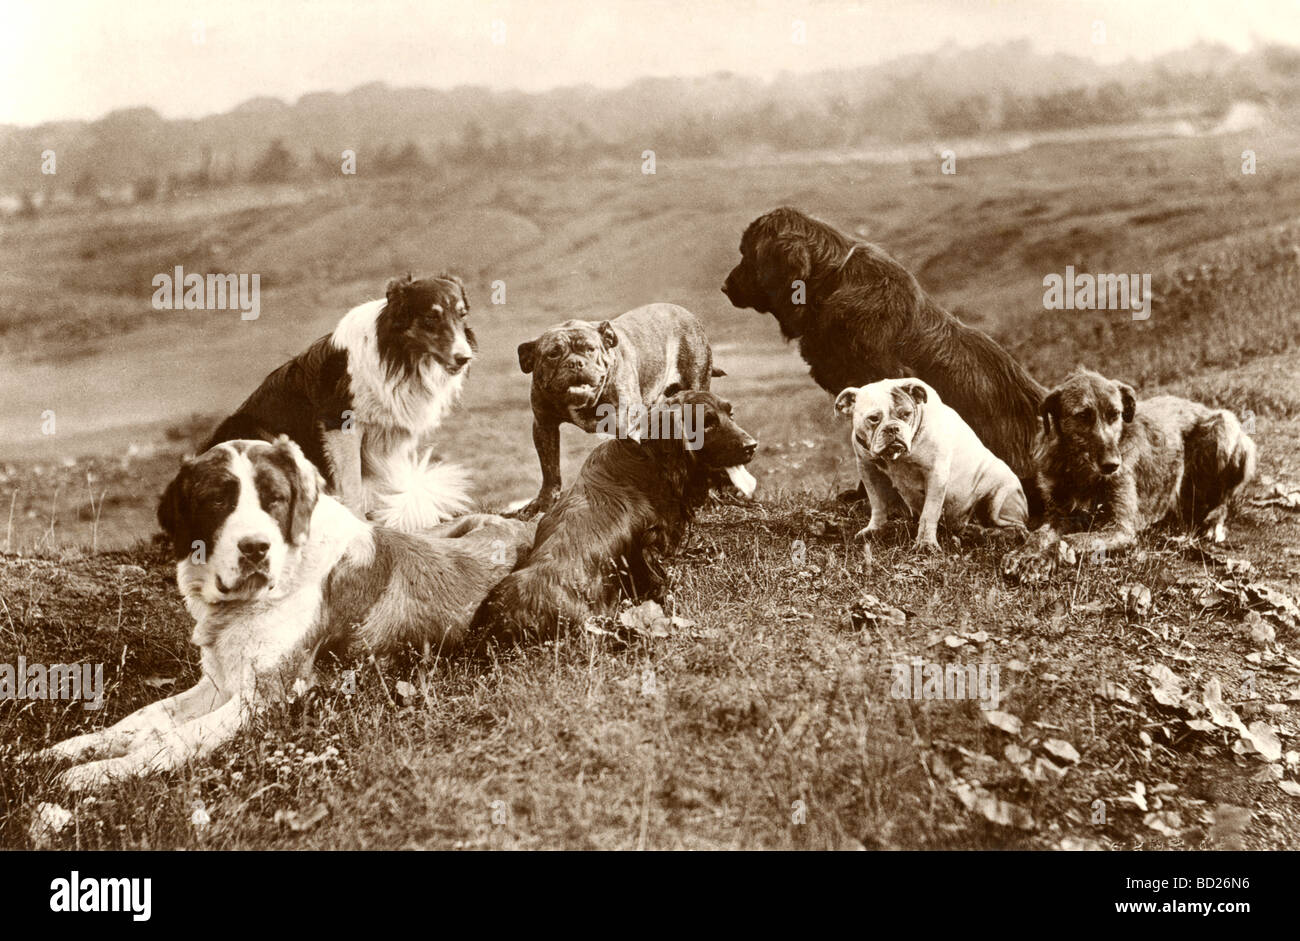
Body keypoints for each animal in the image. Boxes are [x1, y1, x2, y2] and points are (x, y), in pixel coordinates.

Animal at [38, 436, 533, 790]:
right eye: (217, 501)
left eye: (274, 498)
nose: (255, 548)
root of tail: (520, 526)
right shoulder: (217, 683)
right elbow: (143, 718)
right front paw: (69, 750)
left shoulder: (261, 699)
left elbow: (171, 738)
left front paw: (94, 773)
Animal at [206, 275, 478, 532]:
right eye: (431, 317)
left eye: (462, 314)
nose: (464, 358)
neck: (398, 356)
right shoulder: (341, 425)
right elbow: (352, 485)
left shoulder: (394, 432)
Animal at [837, 376, 1029, 551]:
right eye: (873, 418)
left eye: (906, 414)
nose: (893, 428)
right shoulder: (868, 469)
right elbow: (878, 503)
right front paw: (874, 530)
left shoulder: (935, 474)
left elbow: (929, 512)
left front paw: (925, 544)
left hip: (1000, 495)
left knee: (1017, 529)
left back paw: (981, 533)